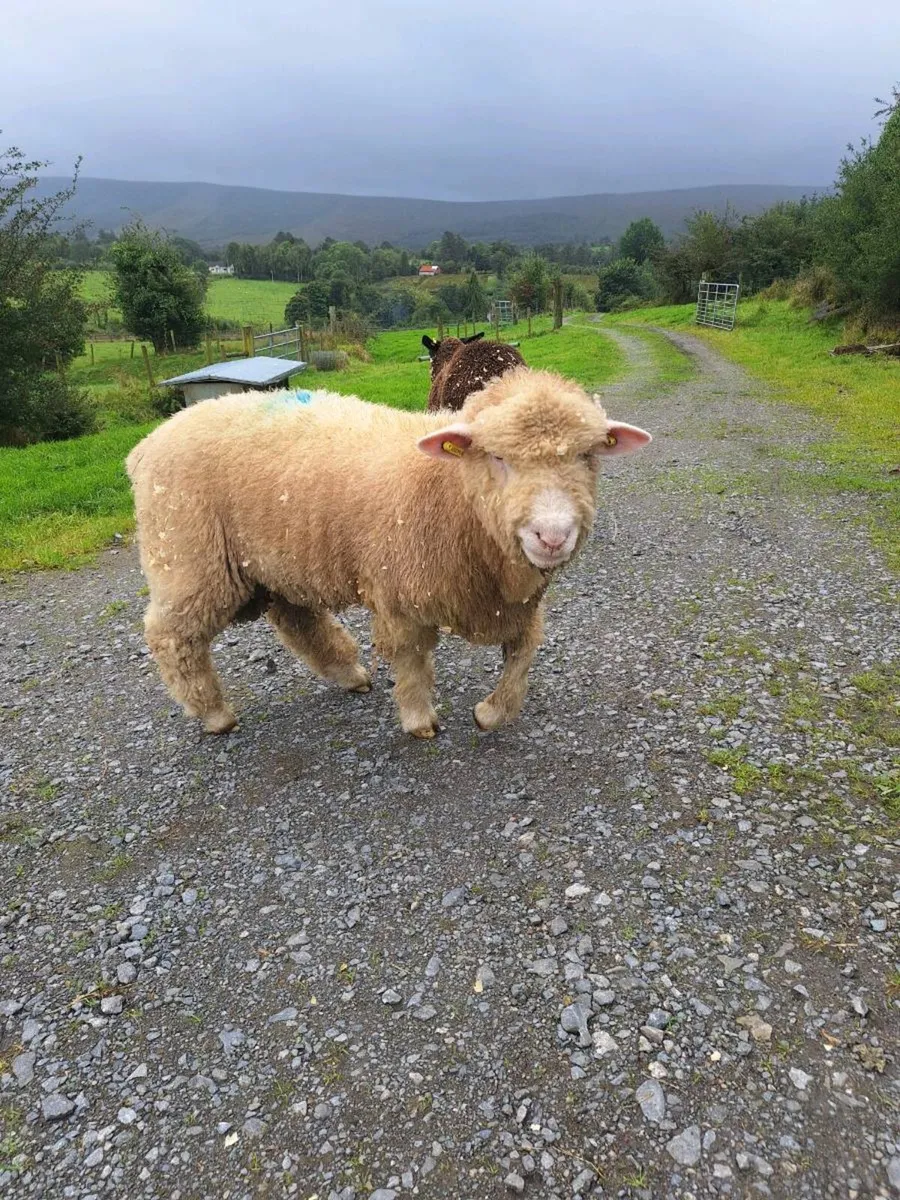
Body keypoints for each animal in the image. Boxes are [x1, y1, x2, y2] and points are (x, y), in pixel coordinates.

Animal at [126, 368, 651, 739]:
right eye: (498, 457)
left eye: (588, 456)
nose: (553, 535)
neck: (451, 492)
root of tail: (148, 441)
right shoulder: (400, 594)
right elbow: (412, 660)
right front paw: (420, 720)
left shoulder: (516, 604)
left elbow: (523, 656)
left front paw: (491, 712)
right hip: (190, 555)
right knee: (172, 634)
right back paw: (215, 714)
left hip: (275, 558)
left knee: (295, 618)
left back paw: (348, 673)